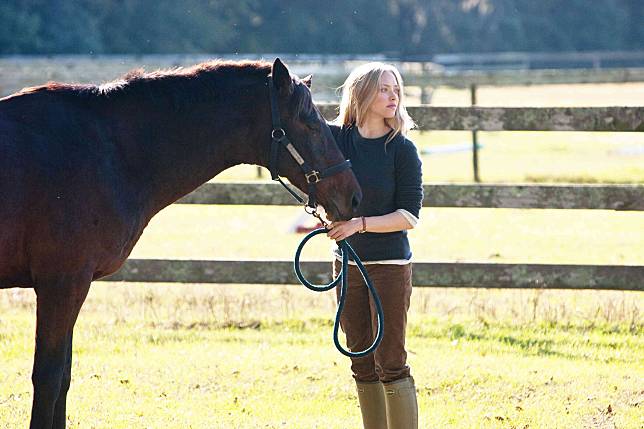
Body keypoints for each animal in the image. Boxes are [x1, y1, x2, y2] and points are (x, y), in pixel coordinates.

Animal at [0, 57, 362, 428]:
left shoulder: (71, 286)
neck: (106, 153)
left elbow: (64, 378)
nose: (353, 197)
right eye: (311, 124)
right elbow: (49, 378)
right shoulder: (62, 283)